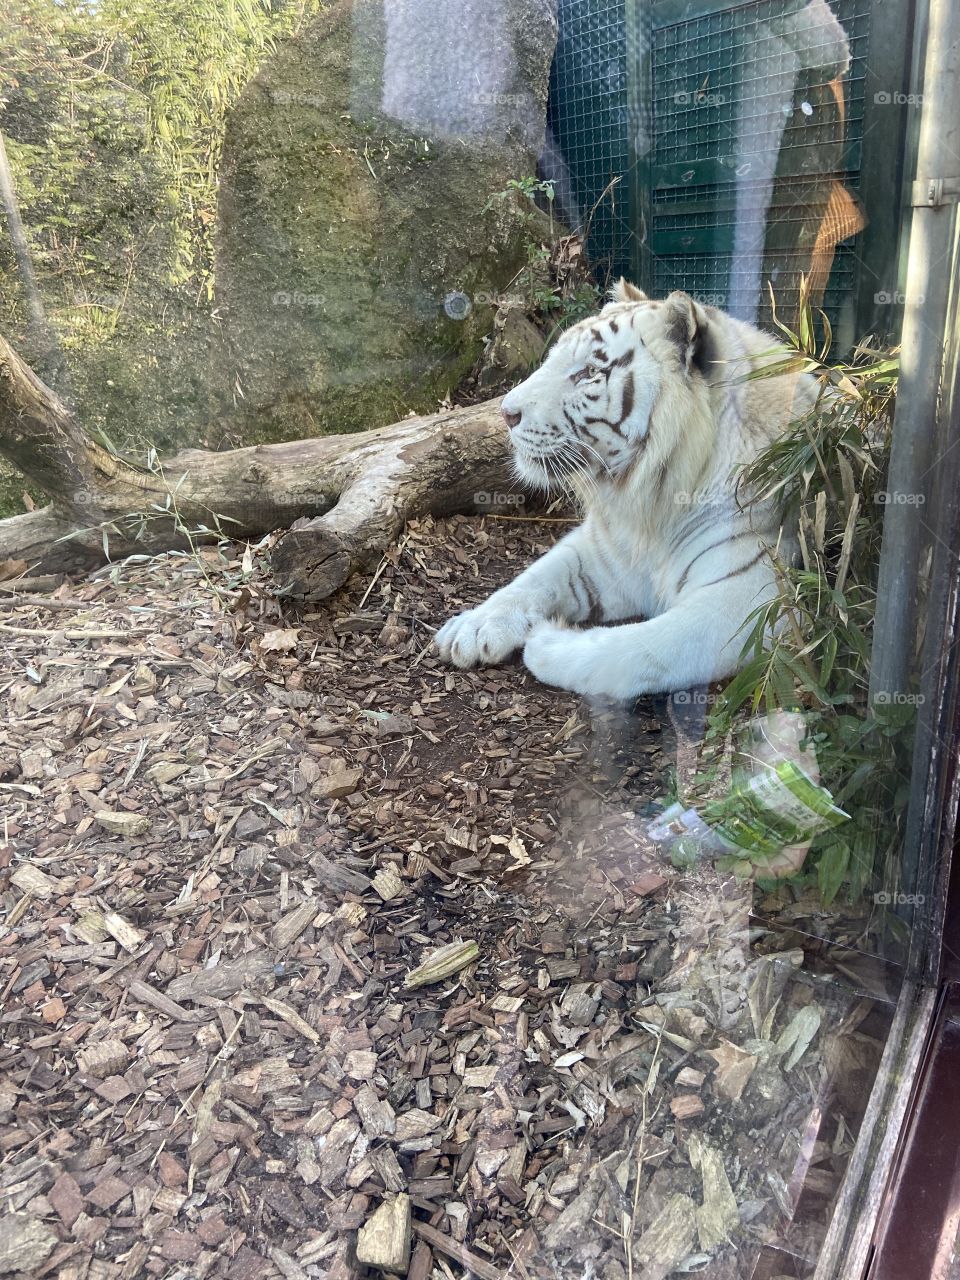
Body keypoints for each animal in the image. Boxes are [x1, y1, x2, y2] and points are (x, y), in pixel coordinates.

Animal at [433, 280, 819, 700]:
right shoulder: (603, 553)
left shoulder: (750, 600)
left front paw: (547, 642)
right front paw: (470, 627)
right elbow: (535, 578)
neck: (653, 501)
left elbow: (640, 649)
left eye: (588, 372)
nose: (506, 412)